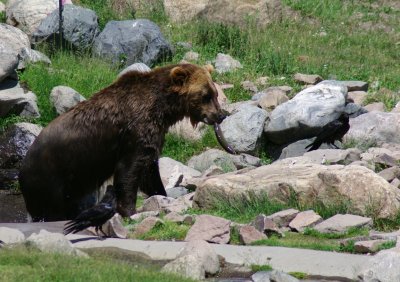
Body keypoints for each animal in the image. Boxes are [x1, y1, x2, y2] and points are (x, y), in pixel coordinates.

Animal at [19, 62, 225, 221]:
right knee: (50, 207)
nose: (221, 115)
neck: (163, 109)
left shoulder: (153, 134)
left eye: (215, 93)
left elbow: (149, 171)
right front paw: (129, 210)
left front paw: (160, 196)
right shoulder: (134, 131)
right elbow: (129, 170)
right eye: (205, 95)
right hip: (51, 175)